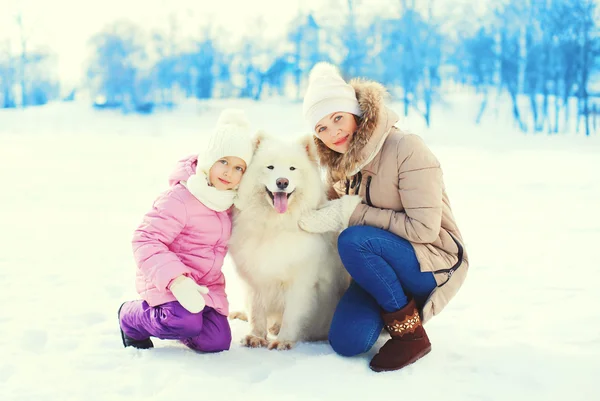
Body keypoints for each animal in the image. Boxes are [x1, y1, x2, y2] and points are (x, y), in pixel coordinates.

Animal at [230, 133, 352, 348]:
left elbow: (292, 315)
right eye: (270, 167)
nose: (282, 182)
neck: (275, 226)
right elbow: (256, 312)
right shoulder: (255, 278)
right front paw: (256, 337)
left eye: (292, 168)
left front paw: (283, 341)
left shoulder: (300, 281)